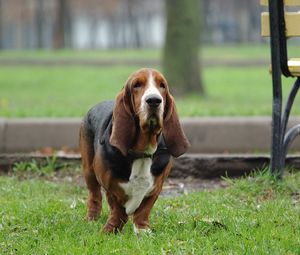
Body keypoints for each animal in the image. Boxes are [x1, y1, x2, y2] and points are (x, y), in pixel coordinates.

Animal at [79, 67, 190, 233]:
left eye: (162, 85)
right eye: (137, 85)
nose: (154, 100)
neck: (141, 152)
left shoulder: (157, 187)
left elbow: (143, 210)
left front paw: (142, 230)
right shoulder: (109, 186)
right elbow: (116, 208)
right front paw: (111, 229)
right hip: (89, 171)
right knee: (94, 196)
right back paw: (91, 219)